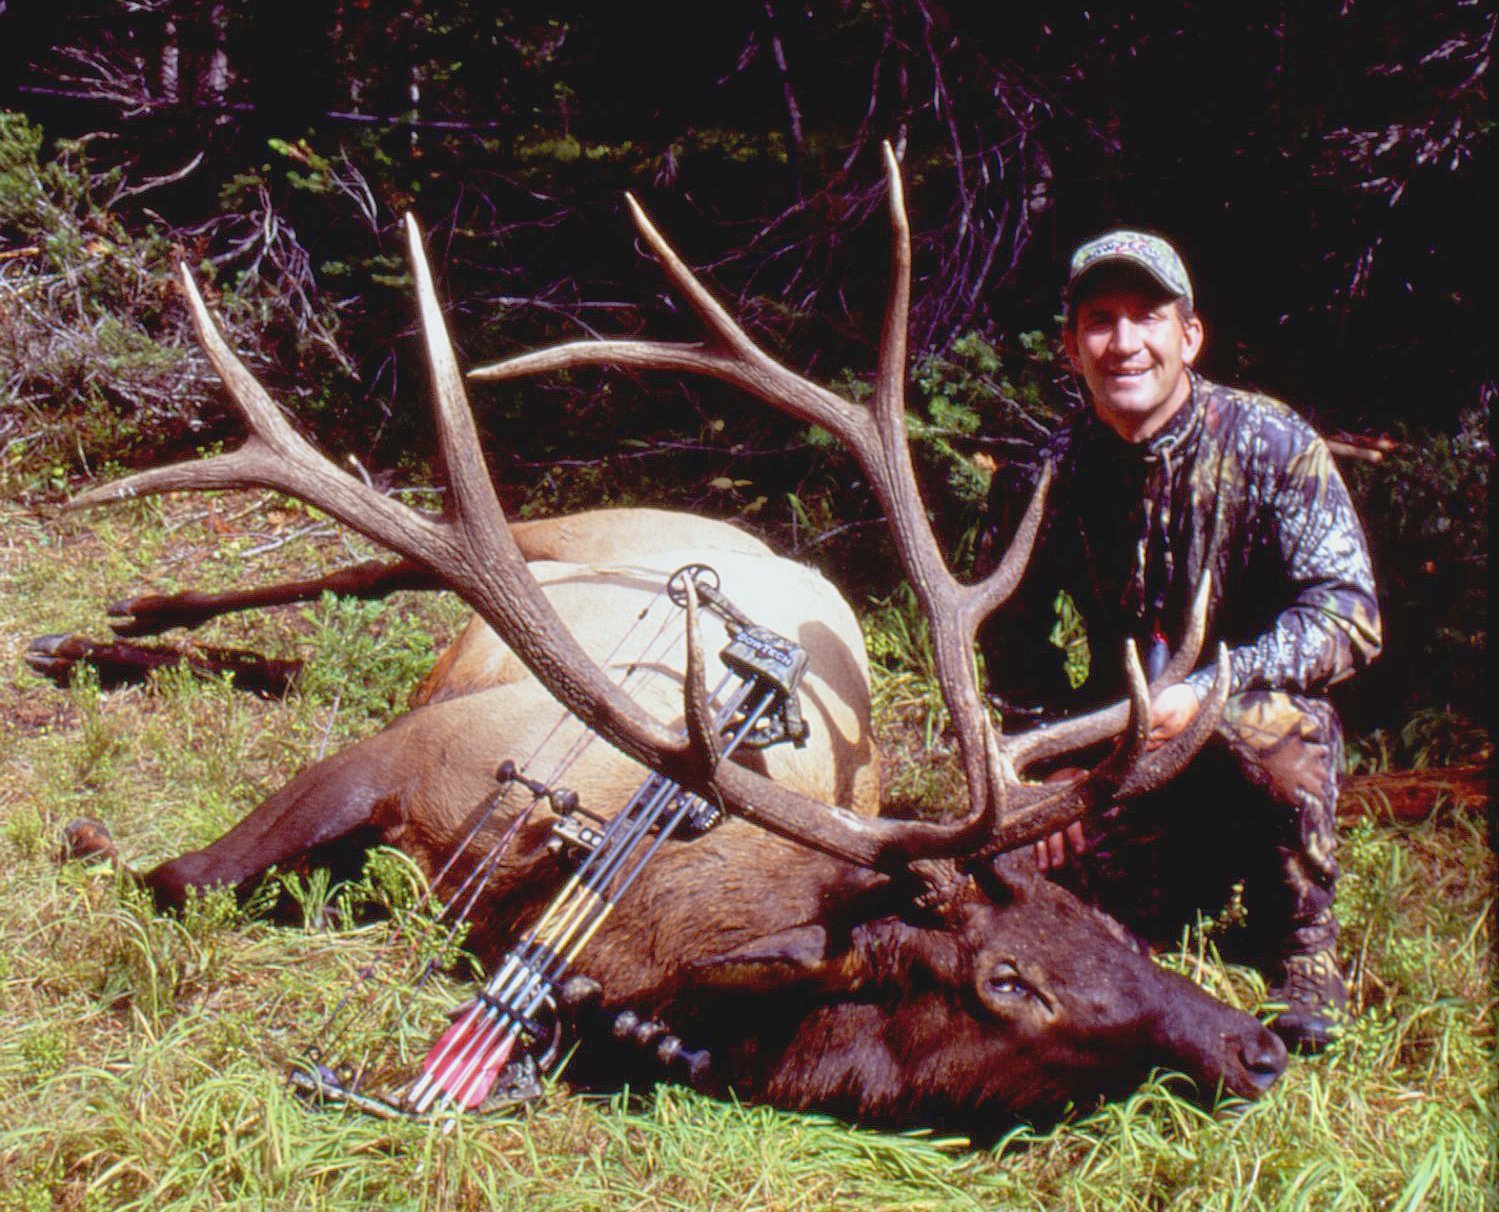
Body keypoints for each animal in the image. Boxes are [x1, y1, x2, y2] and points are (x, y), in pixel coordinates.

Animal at [52, 147, 1286, 1132]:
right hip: (577, 526)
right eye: (1009, 980)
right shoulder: (406, 753)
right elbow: (180, 878)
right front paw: (89, 838)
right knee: (371, 561)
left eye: (1102, 922)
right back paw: (106, 630)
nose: (1259, 1046)